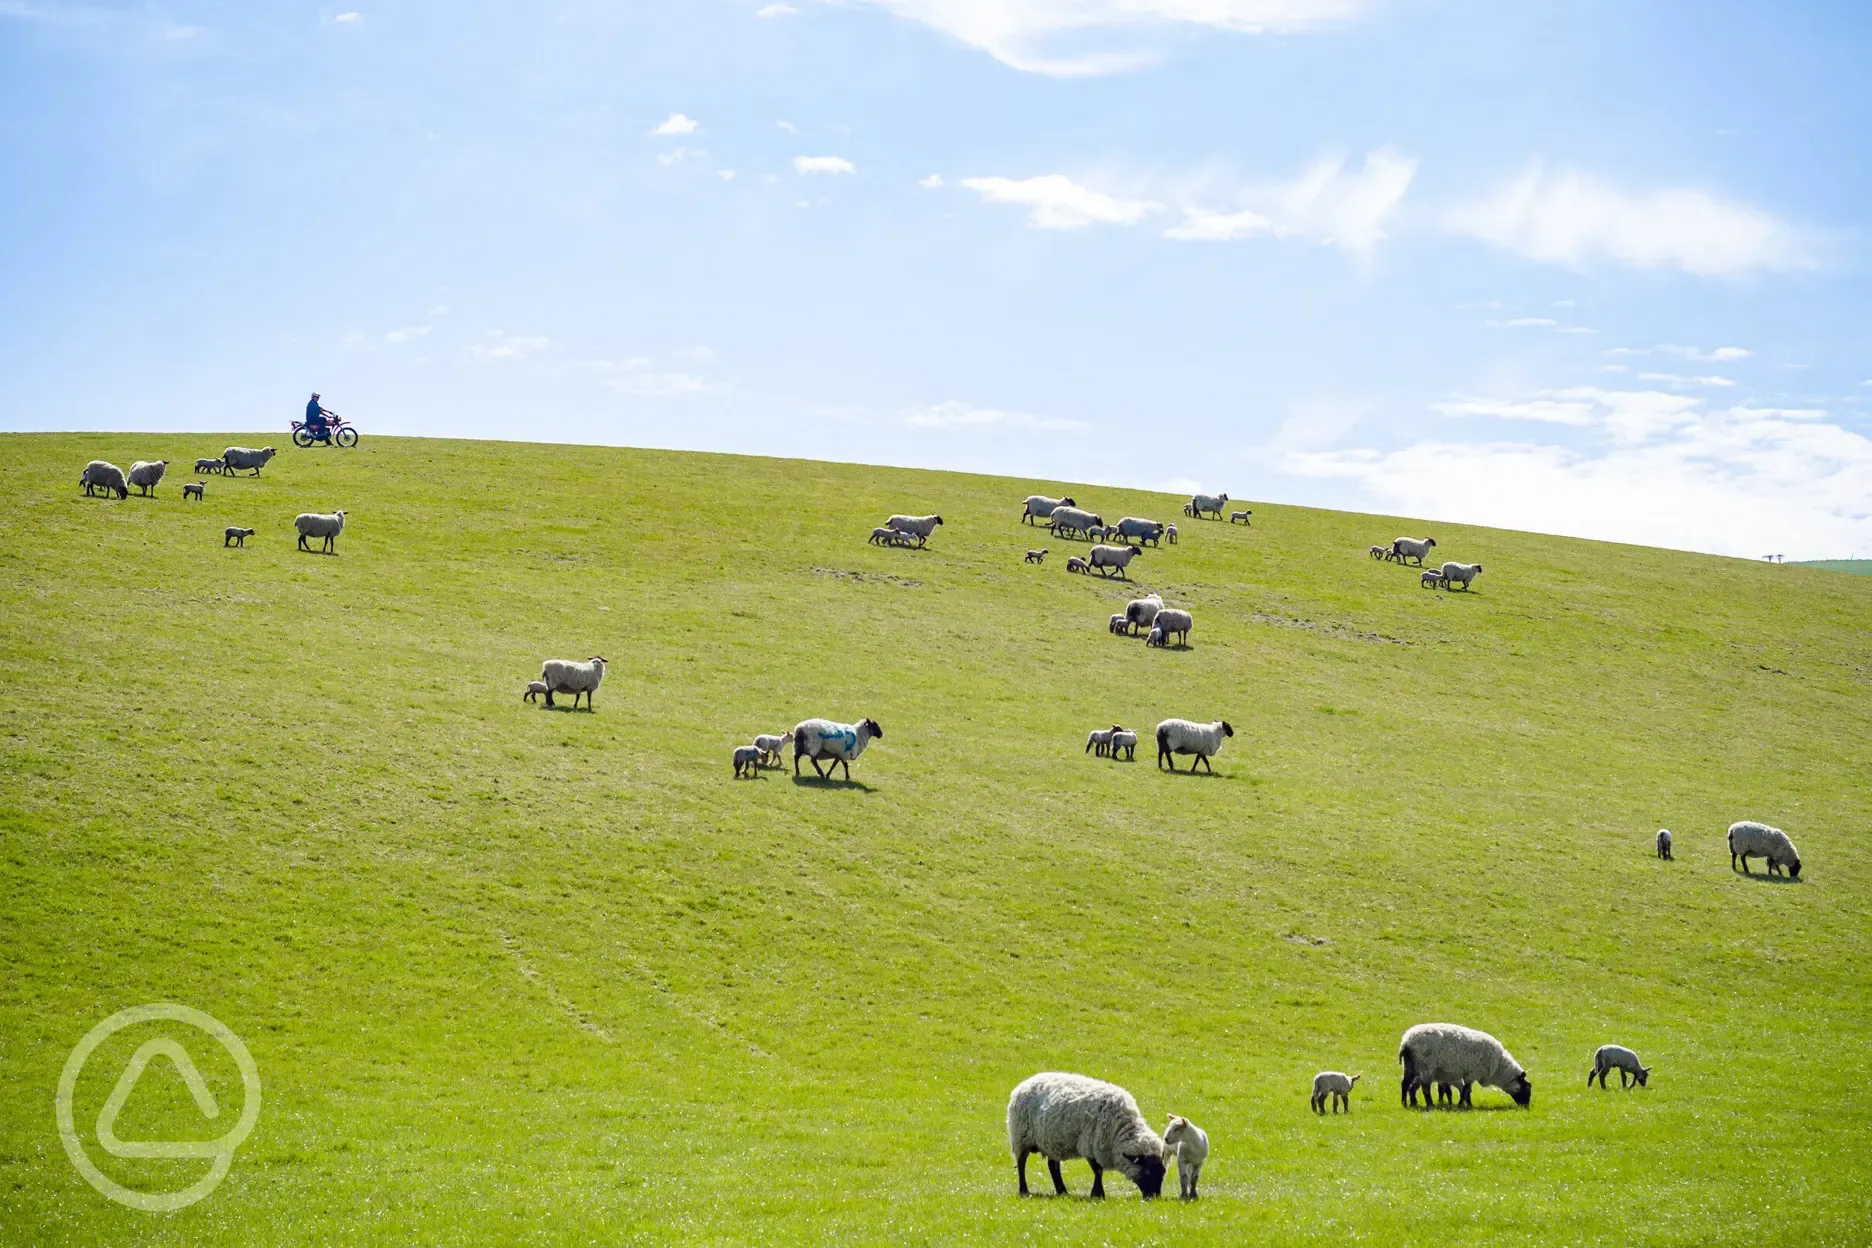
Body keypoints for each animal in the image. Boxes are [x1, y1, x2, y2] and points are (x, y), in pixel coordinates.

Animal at [1003, 1077, 1160, 1197]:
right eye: (1147, 1171)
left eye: (1162, 1171)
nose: (1153, 1197)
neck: (1120, 1128)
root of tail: (1024, 1083)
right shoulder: (1089, 1144)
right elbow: (1098, 1170)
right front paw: (1098, 1194)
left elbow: (1098, 1171)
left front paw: (1096, 1194)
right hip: (1020, 1137)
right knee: (1021, 1164)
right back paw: (1024, 1191)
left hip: (1051, 1141)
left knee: (1053, 1166)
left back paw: (1062, 1192)